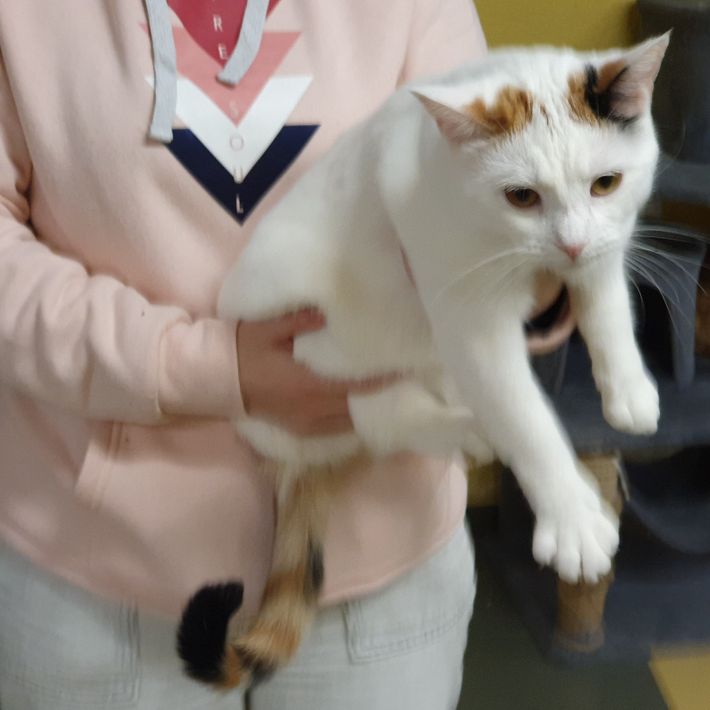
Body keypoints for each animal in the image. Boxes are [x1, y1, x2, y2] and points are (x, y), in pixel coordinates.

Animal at [177, 34, 669, 688]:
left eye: (606, 183)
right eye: (521, 196)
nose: (569, 243)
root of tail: (284, 459)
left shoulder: (603, 246)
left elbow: (607, 302)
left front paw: (629, 388)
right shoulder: (468, 320)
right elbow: (527, 421)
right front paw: (571, 516)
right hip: (330, 358)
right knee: (393, 418)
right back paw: (473, 429)